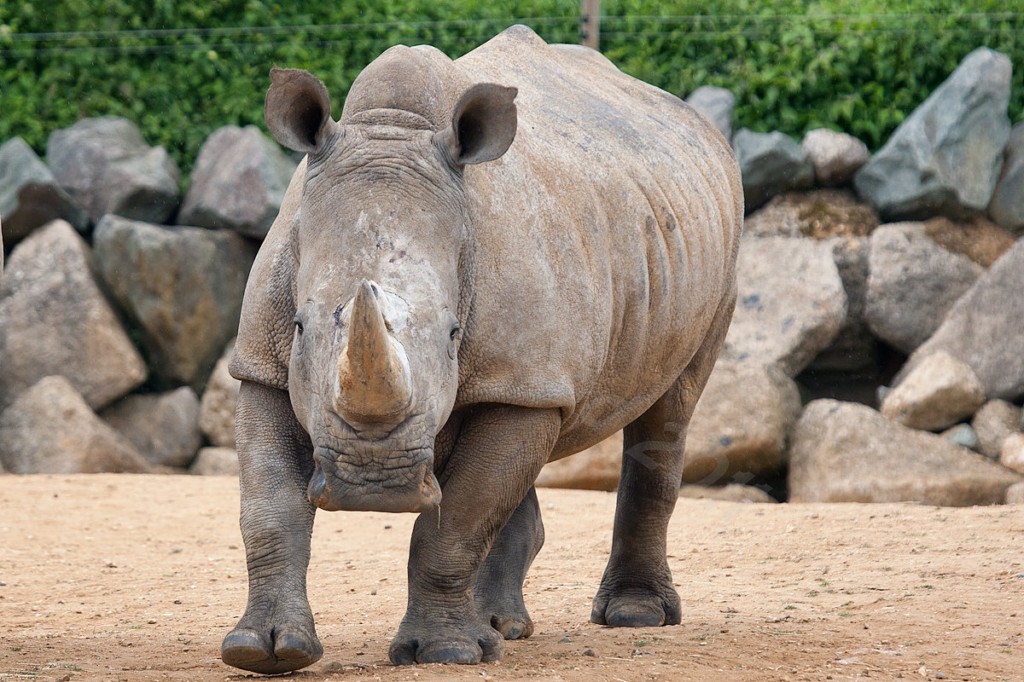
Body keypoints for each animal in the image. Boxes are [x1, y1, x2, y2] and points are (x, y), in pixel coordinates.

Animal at [222, 25, 742, 674]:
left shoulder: (522, 375)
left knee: (669, 406)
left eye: (452, 334)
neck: (393, 130)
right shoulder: (261, 365)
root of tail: (703, 129)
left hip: (715, 249)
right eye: (297, 327)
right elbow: (268, 509)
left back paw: (633, 616)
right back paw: (502, 627)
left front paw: (445, 653)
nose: (373, 485)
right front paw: (263, 650)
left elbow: (459, 520)